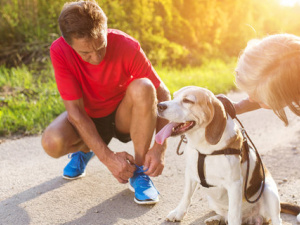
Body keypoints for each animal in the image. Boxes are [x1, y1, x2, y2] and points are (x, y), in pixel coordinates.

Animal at [156, 86, 298, 225]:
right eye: (174, 96)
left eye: (187, 101)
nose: (159, 105)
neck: (205, 148)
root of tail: (250, 218)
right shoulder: (190, 173)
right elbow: (186, 197)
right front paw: (178, 213)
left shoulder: (234, 184)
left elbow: (234, 215)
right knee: (225, 215)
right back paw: (216, 219)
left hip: (269, 189)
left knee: (275, 219)